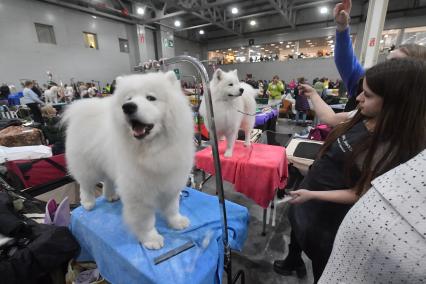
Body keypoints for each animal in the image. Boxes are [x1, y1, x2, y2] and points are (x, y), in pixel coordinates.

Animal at [62, 71, 195, 248]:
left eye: (151, 98)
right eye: (128, 99)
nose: (128, 107)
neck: (153, 150)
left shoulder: (171, 182)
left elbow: (172, 207)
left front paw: (177, 222)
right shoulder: (138, 192)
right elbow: (145, 221)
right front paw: (151, 239)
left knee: (108, 181)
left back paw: (111, 196)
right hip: (88, 167)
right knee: (86, 186)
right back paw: (88, 203)